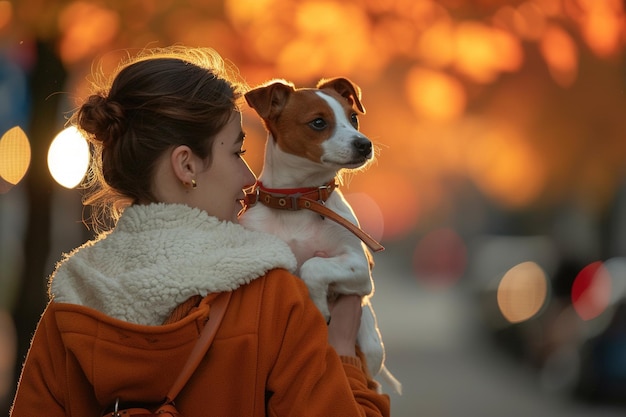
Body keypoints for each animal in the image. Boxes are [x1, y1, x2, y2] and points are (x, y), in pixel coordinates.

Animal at [239, 78, 400, 394]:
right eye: (318, 122)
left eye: (353, 118)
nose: (364, 144)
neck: (301, 201)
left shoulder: (360, 269)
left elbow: (313, 266)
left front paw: (319, 305)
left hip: (371, 344)